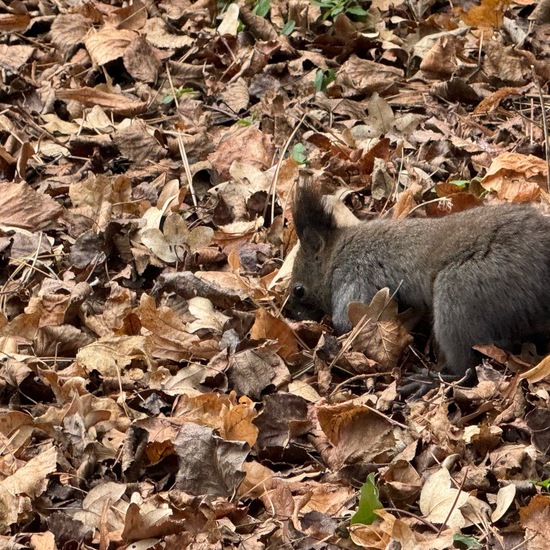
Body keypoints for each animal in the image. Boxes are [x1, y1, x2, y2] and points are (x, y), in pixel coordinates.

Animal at [286, 185, 550, 384]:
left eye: (298, 290)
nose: (289, 313)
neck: (336, 254)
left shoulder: (352, 276)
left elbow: (347, 323)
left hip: (460, 292)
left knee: (468, 369)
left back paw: (429, 381)